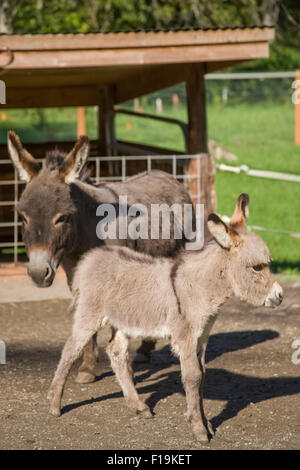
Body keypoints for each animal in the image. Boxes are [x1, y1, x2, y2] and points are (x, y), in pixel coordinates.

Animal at [48, 193, 282, 442]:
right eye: (257, 267)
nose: (280, 296)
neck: (201, 287)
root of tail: (91, 257)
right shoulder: (185, 337)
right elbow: (193, 377)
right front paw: (199, 430)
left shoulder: (202, 337)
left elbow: (202, 376)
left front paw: (206, 424)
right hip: (90, 314)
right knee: (71, 350)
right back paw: (54, 405)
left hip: (124, 320)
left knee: (116, 353)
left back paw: (139, 406)